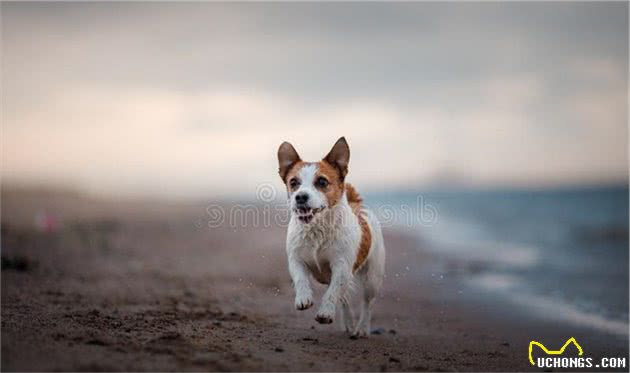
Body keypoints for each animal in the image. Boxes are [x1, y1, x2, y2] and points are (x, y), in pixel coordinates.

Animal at [278, 137, 388, 338]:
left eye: (321, 181)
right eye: (294, 182)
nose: (300, 197)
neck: (317, 228)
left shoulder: (342, 267)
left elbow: (332, 293)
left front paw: (325, 313)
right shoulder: (296, 260)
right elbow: (300, 278)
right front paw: (303, 297)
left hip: (372, 279)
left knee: (367, 303)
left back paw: (362, 328)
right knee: (344, 299)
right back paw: (348, 324)